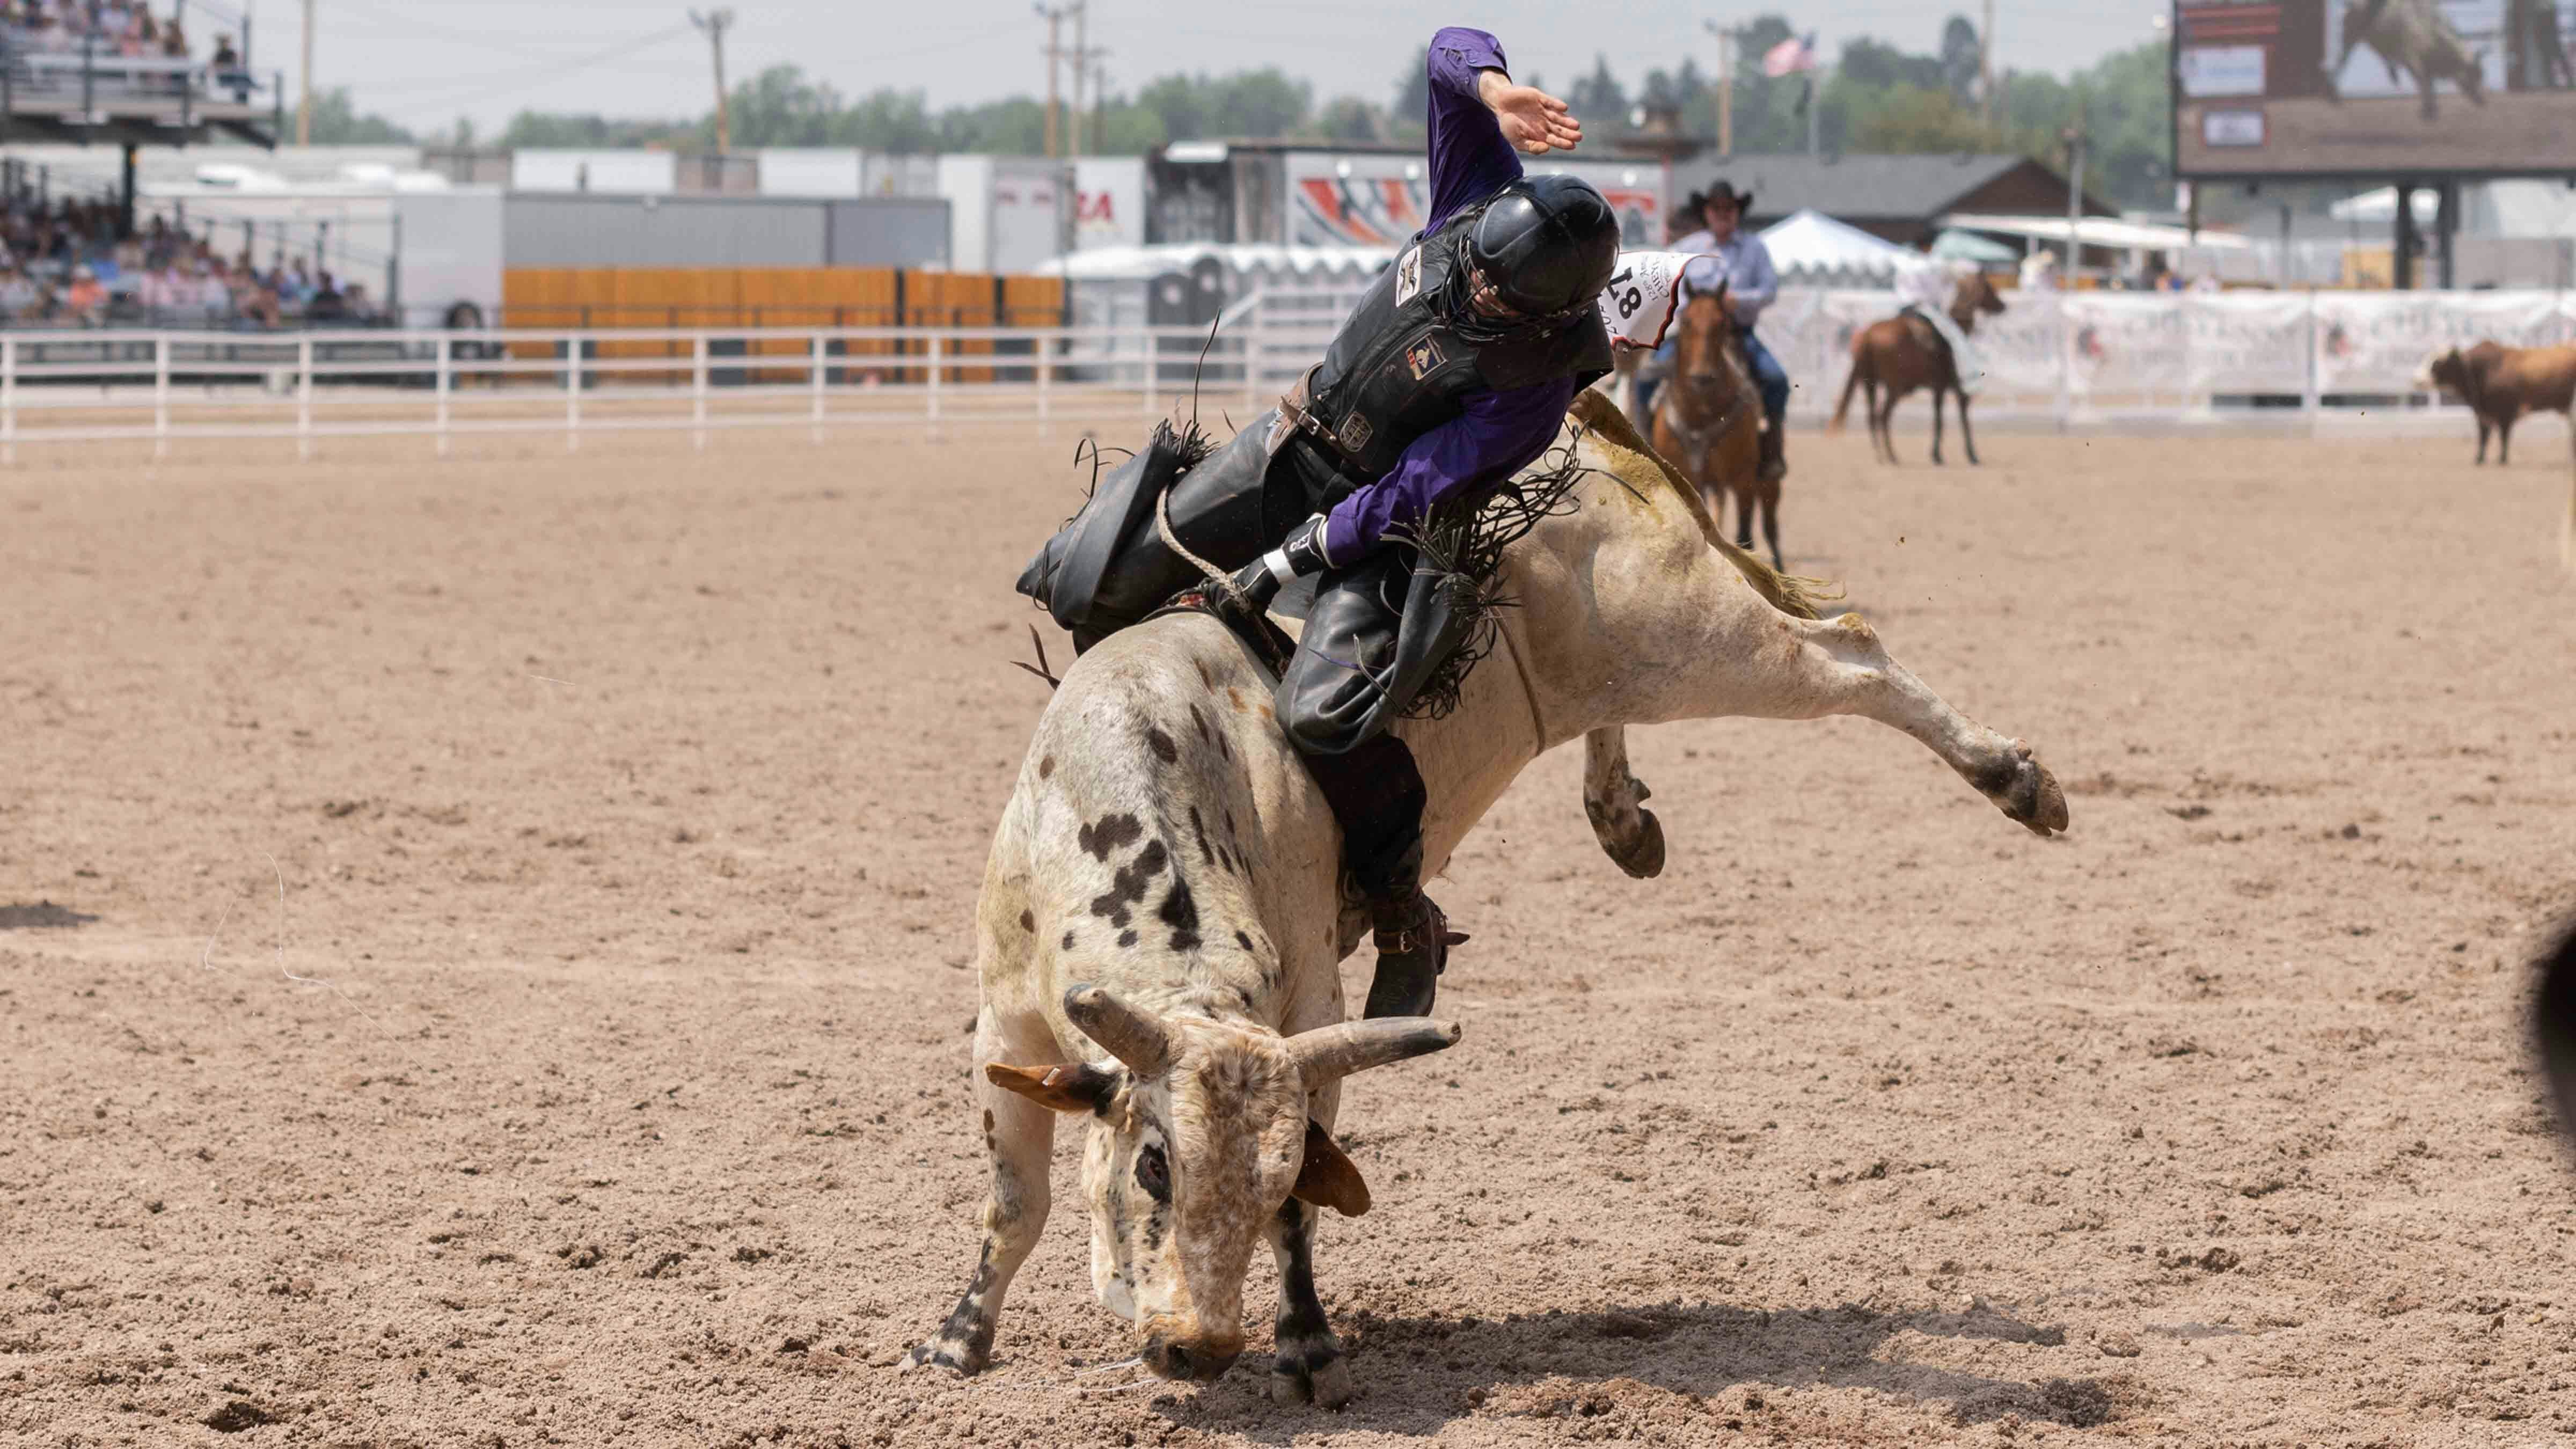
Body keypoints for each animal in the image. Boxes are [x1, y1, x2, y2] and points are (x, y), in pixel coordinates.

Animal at [896, 386, 2061, 1402]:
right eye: (1152, 1167)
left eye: (1273, 1176)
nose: (1200, 1348)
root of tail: (1571, 434)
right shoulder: (1004, 1022)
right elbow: (1017, 1202)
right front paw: (958, 1340)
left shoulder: (1310, 1010)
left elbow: (1301, 1197)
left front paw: (1307, 1344)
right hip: (1633, 657)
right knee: (1636, 706)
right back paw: (1622, 818)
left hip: (1691, 630)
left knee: (1850, 654)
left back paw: (2017, 781)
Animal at [1649, 281, 1772, 565]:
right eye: (1686, 322)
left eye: (1722, 323)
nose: (1701, 377)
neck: (1701, 414)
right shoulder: (1688, 477)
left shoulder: (1742, 479)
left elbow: (1743, 536)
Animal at [1834, 273, 2009, 464]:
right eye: (1989, 288)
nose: (2003, 305)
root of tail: (1867, 335)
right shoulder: (1946, 387)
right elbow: (1951, 419)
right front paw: (1966, 455)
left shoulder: (1937, 389)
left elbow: (1939, 418)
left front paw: (1938, 454)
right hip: (1895, 388)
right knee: (1883, 416)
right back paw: (1891, 455)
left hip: (1870, 384)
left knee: (1872, 417)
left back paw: (1881, 454)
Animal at [2411, 340, 2576, 464]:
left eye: (2437, 362)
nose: (2416, 379)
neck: (2484, 370)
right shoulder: (2483, 413)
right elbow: (2483, 437)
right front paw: (2479, 459)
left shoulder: (2505, 413)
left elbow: (2503, 438)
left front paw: (2502, 460)